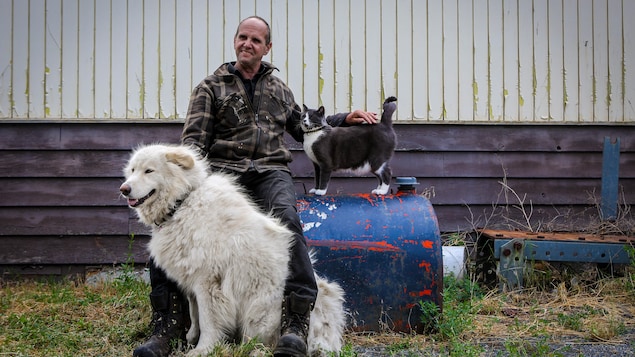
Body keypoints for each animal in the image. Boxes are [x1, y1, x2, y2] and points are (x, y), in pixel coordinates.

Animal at [121, 143, 346, 354]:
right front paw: (190, 338)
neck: (182, 202)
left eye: (149, 171)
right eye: (132, 170)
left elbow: (207, 320)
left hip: (260, 311)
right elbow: (194, 314)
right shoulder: (191, 278)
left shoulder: (208, 282)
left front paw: (203, 349)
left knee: (265, 340)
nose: (124, 189)